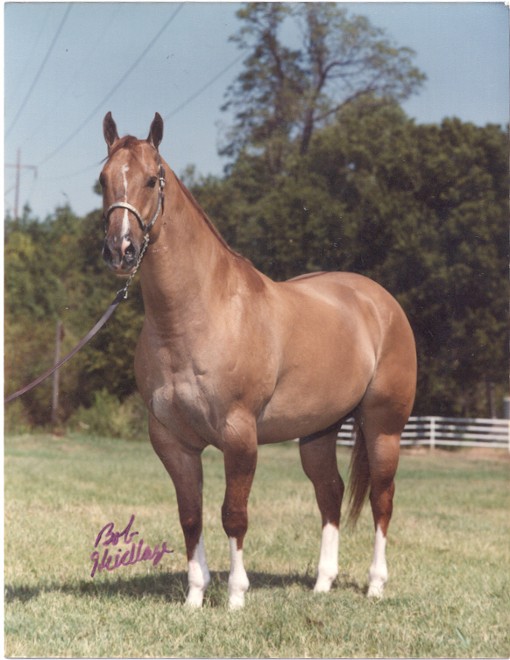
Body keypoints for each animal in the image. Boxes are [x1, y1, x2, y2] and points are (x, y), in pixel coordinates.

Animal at [100, 112, 417, 609]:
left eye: (152, 179)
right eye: (103, 180)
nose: (121, 250)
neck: (199, 313)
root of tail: (380, 303)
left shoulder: (239, 435)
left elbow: (234, 514)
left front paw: (235, 596)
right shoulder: (172, 441)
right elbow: (190, 515)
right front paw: (194, 597)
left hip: (383, 427)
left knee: (382, 499)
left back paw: (375, 586)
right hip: (318, 432)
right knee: (330, 494)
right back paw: (322, 583)